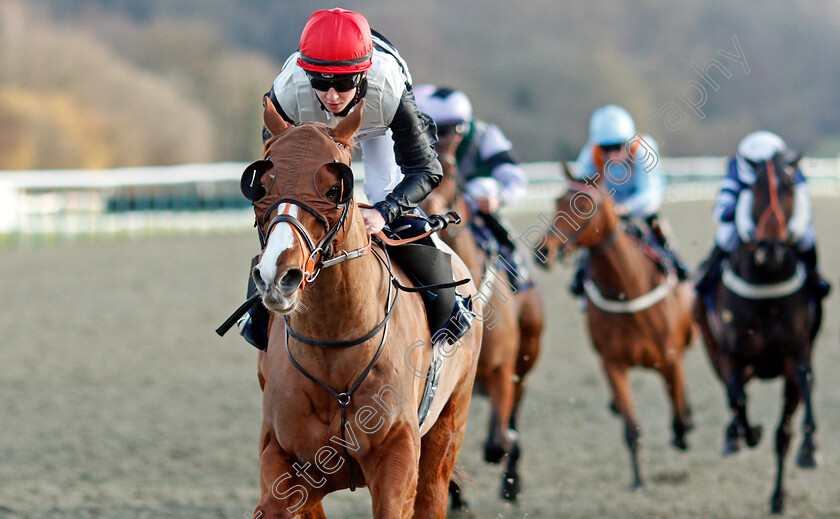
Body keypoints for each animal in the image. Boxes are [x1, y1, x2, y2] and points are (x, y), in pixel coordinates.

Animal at [246, 99, 482, 516]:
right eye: (262, 186)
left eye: (334, 188)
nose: (278, 275)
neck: (334, 348)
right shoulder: (283, 458)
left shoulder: (397, 457)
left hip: (447, 429)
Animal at [420, 158, 544, 504]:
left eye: (451, 174)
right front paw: (457, 494)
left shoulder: (502, 371)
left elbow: (496, 444)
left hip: (525, 359)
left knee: (514, 410)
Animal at [540, 176, 696, 492]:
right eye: (556, 201)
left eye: (584, 205)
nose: (546, 251)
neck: (628, 291)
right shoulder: (614, 363)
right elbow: (630, 428)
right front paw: (638, 480)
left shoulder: (669, 357)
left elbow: (677, 412)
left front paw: (683, 427)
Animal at [692, 152, 824, 512]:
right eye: (753, 188)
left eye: (790, 187)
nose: (771, 247)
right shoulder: (733, 356)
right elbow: (737, 400)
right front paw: (747, 434)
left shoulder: (797, 355)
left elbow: (795, 414)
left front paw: (809, 449)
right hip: (716, 354)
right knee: (733, 398)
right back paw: (733, 437)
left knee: (782, 432)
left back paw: (778, 496)